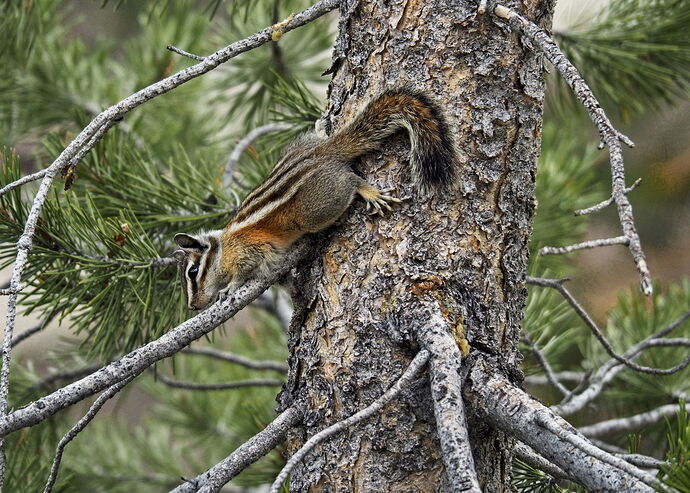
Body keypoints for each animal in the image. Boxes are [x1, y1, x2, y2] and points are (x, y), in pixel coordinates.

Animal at [173, 89, 456, 310]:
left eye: (193, 273)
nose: (193, 306)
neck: (223, 247)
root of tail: (325, 152)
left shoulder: (248, 251)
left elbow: (243, 272)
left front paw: (229, 288)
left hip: (316, 208)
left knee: (350, 181)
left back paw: (368, 191)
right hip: (301, 149)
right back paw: (321, 126)